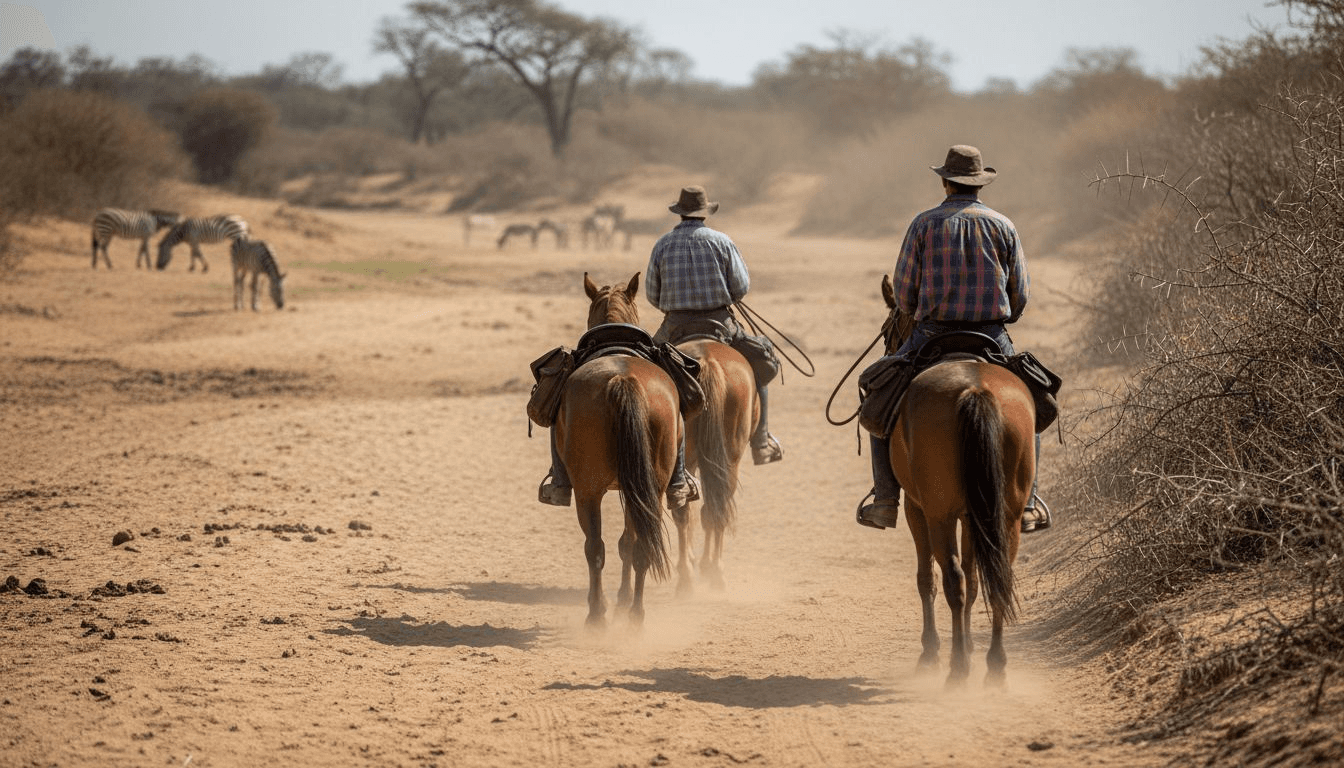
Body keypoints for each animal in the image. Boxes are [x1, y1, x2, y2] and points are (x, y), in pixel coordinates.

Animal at [554, 272, 680, 627]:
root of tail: (623, 380)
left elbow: (618, 544)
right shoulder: (633, 487)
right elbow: (628, 544)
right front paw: (623, 600)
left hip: (588, 492)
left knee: (596, 547)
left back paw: (599, 615)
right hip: (648, 488)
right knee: (636, 548)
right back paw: (635, 616)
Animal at [673, 338, 756, 594]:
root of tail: (708, 363)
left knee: (689, 512)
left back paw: (688, 577)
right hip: (728, 459)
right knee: (713, 508)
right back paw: (712, 573)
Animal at [878, 274, 1035, 687]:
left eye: (889, 329)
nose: (889, 347)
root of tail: (975, 390)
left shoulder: (918, 509)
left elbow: (928, 578)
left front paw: (933, 653)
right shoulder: (974, 514)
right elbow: (978, 578)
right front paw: (966, 647)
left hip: (939, 514)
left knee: (951, 579)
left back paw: (957, 670)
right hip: (1005, 514)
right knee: (997, 580)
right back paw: (994, 668)